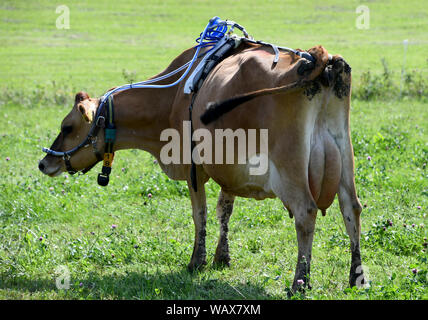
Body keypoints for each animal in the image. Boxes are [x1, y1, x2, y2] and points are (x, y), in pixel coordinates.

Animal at [38, 41, 364, 294]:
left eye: (67, 127)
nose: (44, 162)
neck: (173, 96)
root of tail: (319, 57)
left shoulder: (193, 168)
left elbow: (200, 215)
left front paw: (197, 261)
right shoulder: (229, 170)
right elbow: (224, 210)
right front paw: (222, 257)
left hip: (290, 169)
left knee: (305, 213)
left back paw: (300, 282)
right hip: (344, 154)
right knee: (351, 208)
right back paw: (357, 277)